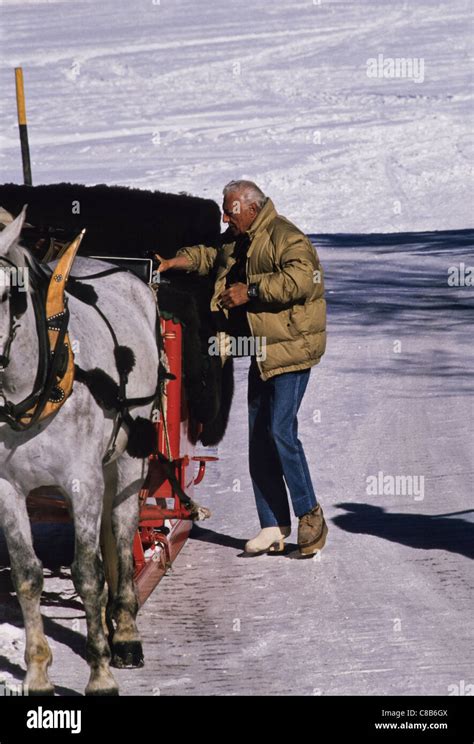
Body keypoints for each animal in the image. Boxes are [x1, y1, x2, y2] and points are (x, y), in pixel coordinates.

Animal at [0, 206, 161, 696]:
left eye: (7, 294)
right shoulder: (7, 488)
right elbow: (27, 576)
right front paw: (37, 674)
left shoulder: (82, 482)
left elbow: (88, 575)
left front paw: (101, 673)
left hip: (128, 459)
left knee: (122, 532)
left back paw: (124, 633)